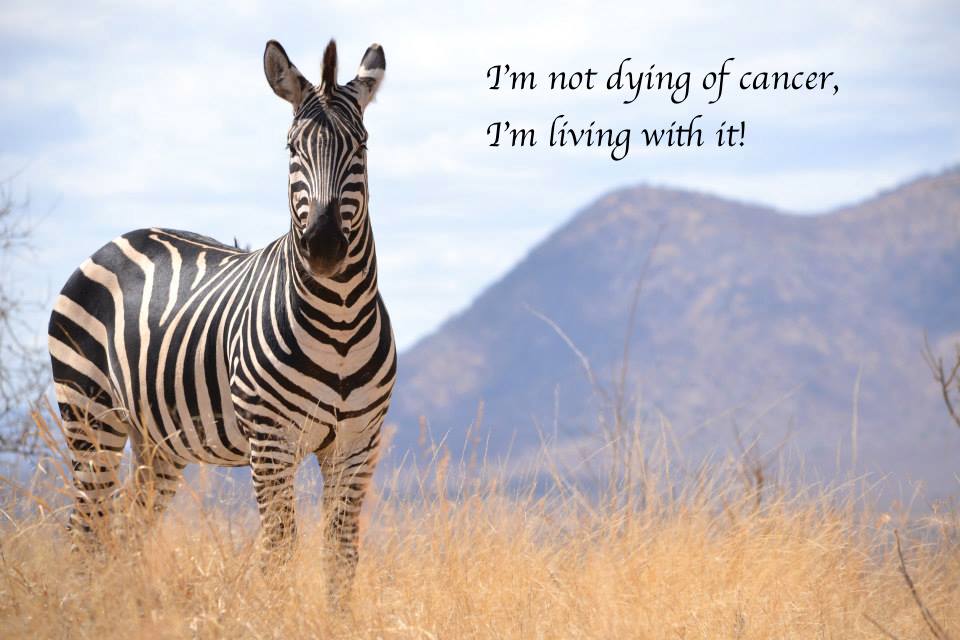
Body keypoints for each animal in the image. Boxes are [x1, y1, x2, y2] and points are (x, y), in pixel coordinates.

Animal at [47, 38, 395, 602]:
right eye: (291, 149)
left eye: (360, 147)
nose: (323, 247)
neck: (340, 319)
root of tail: (120, 237)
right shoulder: (272, 442)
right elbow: (278, 551)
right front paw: (276, 615)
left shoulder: (357, 442)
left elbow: (341, 553)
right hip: (89, 415)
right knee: (86, 531)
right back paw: (82, 608)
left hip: (157, 442)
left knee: (126, 532)